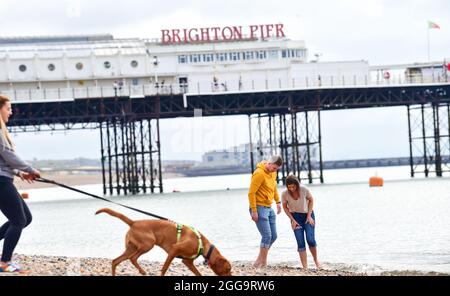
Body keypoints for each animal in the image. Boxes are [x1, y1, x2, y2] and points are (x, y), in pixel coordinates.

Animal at [95, 208, 232, 276]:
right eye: (228, 269)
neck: (202, 245)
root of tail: (134, 222)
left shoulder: (187, 261)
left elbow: (198, 273)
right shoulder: (174, 250)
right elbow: (165, 268)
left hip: (131, 248)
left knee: (115, 261)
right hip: (148, 244)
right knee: (133, 258)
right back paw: (142, 271)